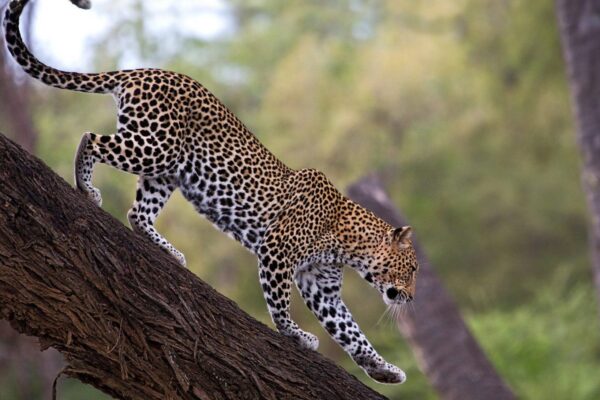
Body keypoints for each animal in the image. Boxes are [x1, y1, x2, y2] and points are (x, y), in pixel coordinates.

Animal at [3, 0, 422, 384]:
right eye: (414, 268)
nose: (413, 298)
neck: (349, 244)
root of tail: (145, 69)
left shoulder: (322, 285)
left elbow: (351, 332)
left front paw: (383, 369)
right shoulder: (277, 252)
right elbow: (281, 303)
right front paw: (296, 335)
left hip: (167, 170)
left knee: (138, 213)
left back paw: (168, 250)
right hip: (154, 147)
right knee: (90, 139)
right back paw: (86, 188)